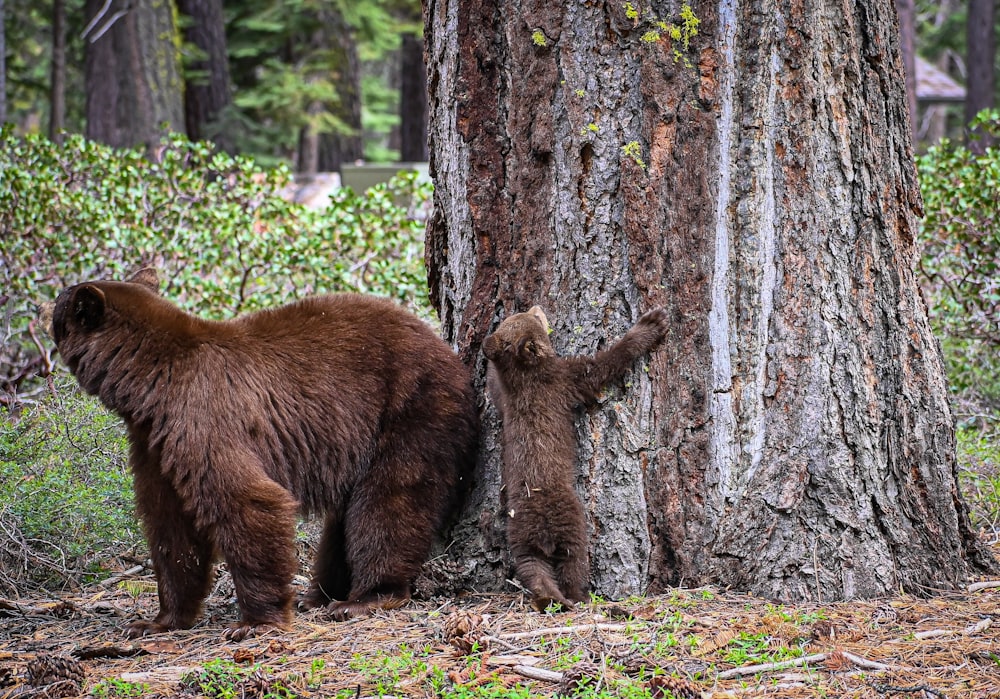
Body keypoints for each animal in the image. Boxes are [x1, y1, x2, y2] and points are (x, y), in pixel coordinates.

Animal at [47, 270, 480, 640]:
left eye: (60, 306)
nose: (50, 304)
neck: (152, 387)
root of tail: (448, 351)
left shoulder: (205, 418)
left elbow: (248, 501)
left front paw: (255, 621)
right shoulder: (157, 443)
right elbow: (171, 528)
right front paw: (159, 620)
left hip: (413, 409)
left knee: (389, 502)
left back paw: (366, 597)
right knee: (343, 520)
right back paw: (317, 596)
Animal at [482, 306, 668, 612]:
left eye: (522, 316)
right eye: (535, 319)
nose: (537, 306)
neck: (526, 379)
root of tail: (541, 532)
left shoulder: (508, 400)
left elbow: (495, 390)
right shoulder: (564, 380)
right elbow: (601, 366)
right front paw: (652, 324)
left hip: (520, 538)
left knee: (533, 569)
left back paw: (548, 598)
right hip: (572, 525)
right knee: (572, 561)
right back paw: (579, 597)